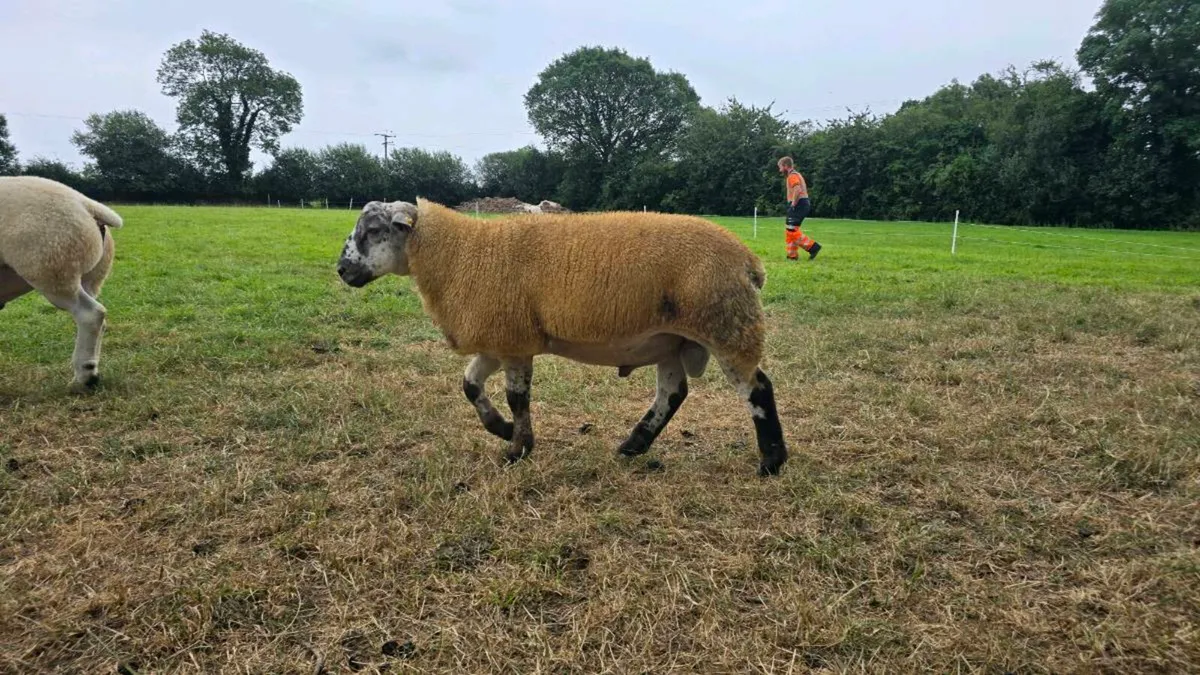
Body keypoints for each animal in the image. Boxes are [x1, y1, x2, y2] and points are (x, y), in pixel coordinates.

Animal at [336, 198, 788, 476]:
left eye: (372, 230)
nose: (342, 270)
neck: (460, 255)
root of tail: (750, 262)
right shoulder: (499, 339)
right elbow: (470, 386)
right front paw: (501, 430)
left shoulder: (514, 340)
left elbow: (517, 398)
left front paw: (517, 449)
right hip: (672, 341)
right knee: (672, 395)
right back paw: (633, 445)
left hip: (727, 325)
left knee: (758, 389)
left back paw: (772, 462)